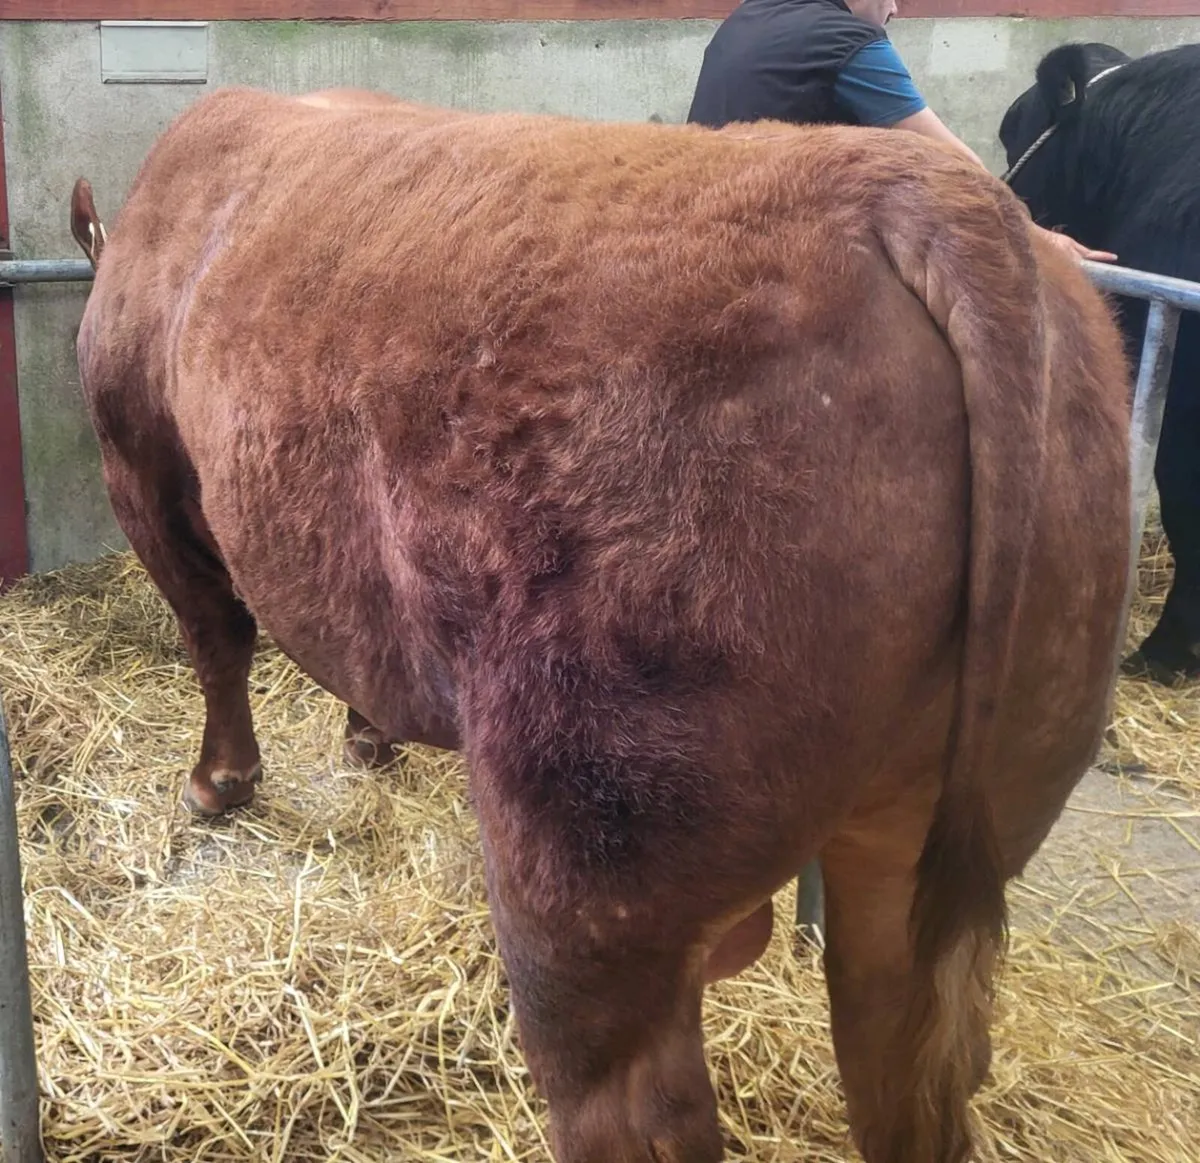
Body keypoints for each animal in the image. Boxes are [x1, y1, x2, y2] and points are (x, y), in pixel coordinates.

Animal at [70, 86, 1131, 1163]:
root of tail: (921, 191)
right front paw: (367, 738)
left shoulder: (142, 468)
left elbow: (216, 637)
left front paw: (219, 780)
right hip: (943, 830)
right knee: (906, 1069)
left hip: (591, 841)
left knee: (633, 1102)